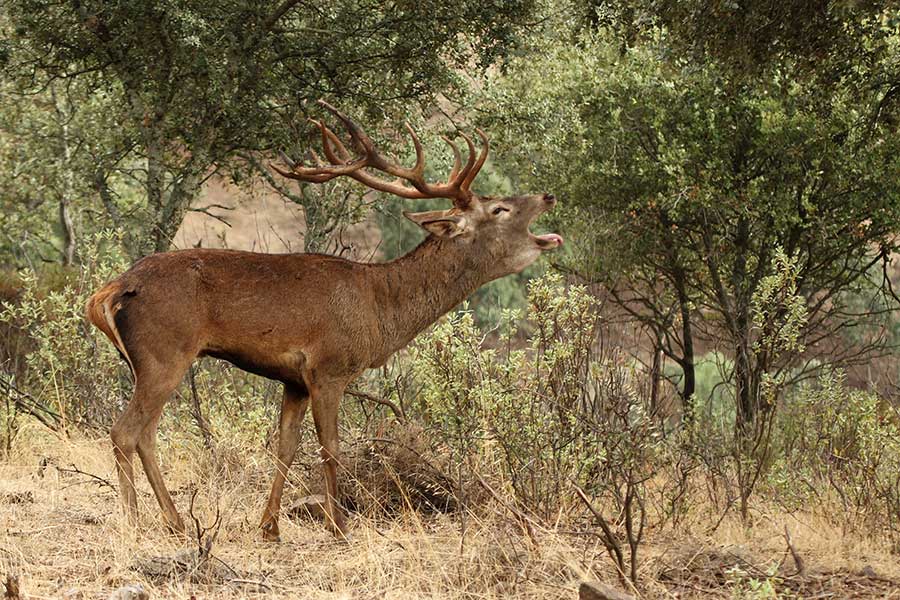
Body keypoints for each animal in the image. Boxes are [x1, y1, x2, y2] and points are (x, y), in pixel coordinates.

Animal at [86, 101, 564, 540]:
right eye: (499, 209)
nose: (548, 195)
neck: (379, 311)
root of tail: (111, 291)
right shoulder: (329, 368)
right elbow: (331, 449)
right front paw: (340, 526)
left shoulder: (294, 380)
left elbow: (285, 447)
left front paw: (269, 525)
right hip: (164, 353)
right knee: (125, 431)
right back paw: (134, 523)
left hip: (153, 361)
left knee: (146, 434)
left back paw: (176, 521)